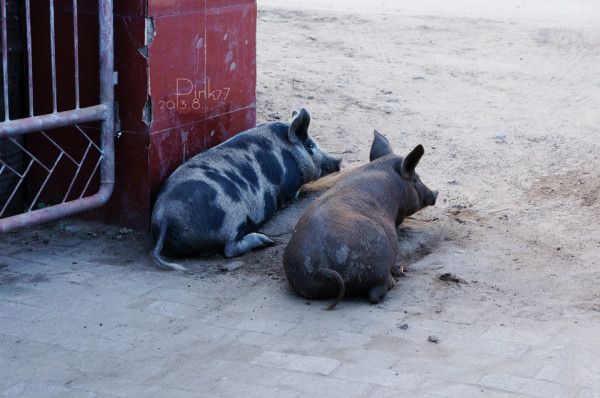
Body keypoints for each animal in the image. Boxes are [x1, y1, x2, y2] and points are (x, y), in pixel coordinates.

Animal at [151, 109, 338, 270]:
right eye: (310, 145)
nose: (339, 160)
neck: (290, 152)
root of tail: (164, 217)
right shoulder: (291, 186)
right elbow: (294, 193)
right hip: (232, 219)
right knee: (229, 249)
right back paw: (266, 242)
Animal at [282, 132, 436, 310]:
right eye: (416, 179)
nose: (435, 193)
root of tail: (320, 266)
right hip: (376, 262)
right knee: (376, 292)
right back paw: (394, 279)